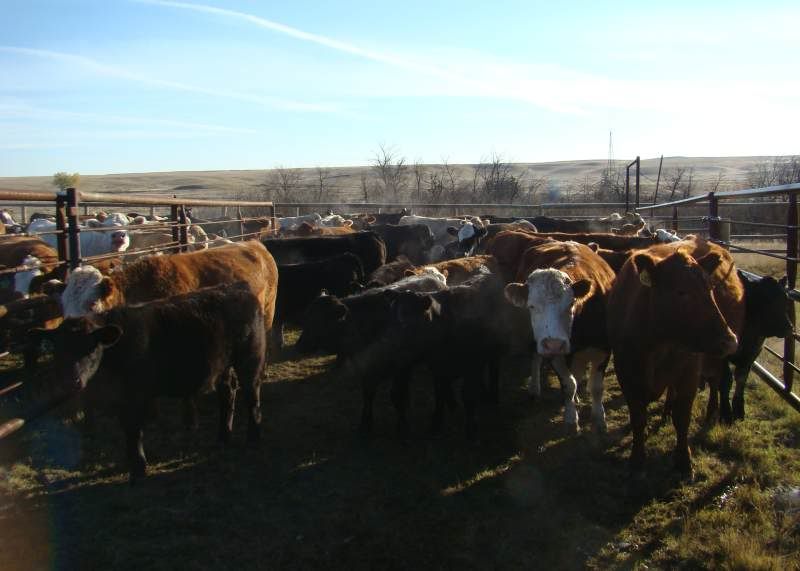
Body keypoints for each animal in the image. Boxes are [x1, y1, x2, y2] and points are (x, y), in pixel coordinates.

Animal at [32, 282, 267, 483]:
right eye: (58, 351)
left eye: (91, 347)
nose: (72, 381)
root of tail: (240, 289)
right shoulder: (120, 398)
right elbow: (127, 429)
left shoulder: (135, 395)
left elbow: (134, 430)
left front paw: (138, 470)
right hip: (222, 366)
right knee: (228, 393)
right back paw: (223, 437)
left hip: (250, 359)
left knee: (252, 395)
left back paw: (253, 438)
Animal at [500, 236, 616, 433]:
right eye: (531, 306)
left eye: (571, 304)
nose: (554, 344)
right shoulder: (555, 354)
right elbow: (568, 385)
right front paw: (571, 419)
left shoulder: (604, 348)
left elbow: (596, 387)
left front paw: (599, 418)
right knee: (536, 357)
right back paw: (535, 388)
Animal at [607, 239, 740, 478]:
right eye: (681, 292)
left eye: (711, 289)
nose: (730, 341)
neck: (659, 345)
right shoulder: (627, 374)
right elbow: (638, 418)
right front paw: (637, 460)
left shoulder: (689, 374)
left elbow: (682, 418)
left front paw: (684, 461)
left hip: (712, 361)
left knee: (716, 382)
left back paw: (711, 411)